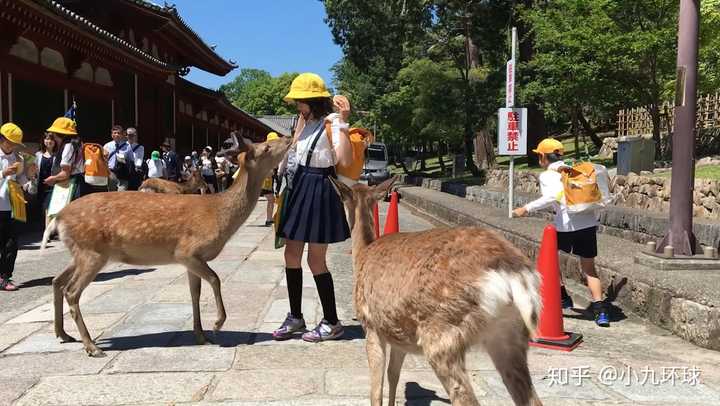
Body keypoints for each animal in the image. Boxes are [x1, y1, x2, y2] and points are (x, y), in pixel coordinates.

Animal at [40, 135, 290, 356]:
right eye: (266, 147)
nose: (288, 139)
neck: (219, 215)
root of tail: (58, 218)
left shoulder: (193, 260)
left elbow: (195, 293)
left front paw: (201, 336)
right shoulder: (186, 251)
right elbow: (215, 279)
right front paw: (217, 325)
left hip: (81, 252)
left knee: (57, 281)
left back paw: (63, 334)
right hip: (92, 253)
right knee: (72, 291)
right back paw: (92, 347)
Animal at [330, 177, 544, 406]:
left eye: (341, 196)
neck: (362, 254)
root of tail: (513, 271)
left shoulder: (371, 325)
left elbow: (376, 389)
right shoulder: (397, 336)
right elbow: (393, 374)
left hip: (442, 334)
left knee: (464, 395)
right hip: (511, 334)